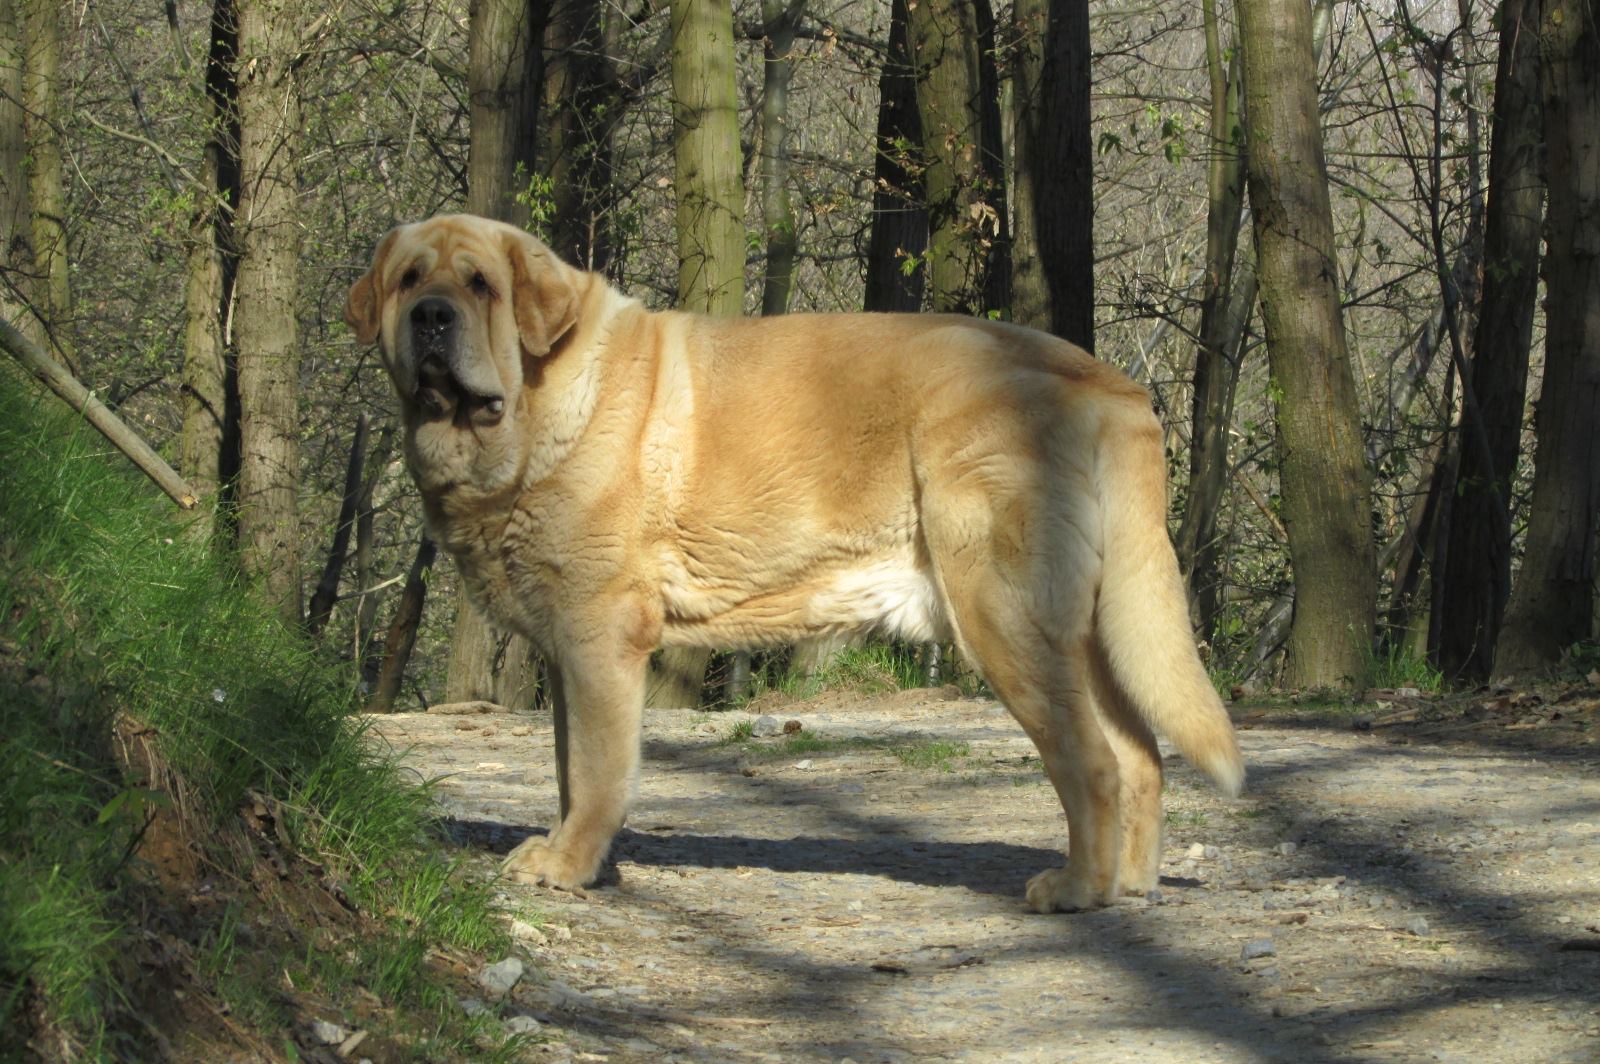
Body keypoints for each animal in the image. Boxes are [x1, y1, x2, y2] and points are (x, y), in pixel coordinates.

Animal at [350, 216, 1241, 915]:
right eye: (410, 280)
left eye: (480, 284)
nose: (433, 317)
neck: (538, 404)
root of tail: (1107, 383)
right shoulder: (570, 656)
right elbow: (573, 769)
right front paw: (579, 856)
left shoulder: (599, 639)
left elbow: (598, 772)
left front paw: (569, 865)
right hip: (1089, 630)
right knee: (1139, 756)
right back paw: (1129, 883)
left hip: (1004, 618)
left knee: (1091, 760)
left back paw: (1079, 888)